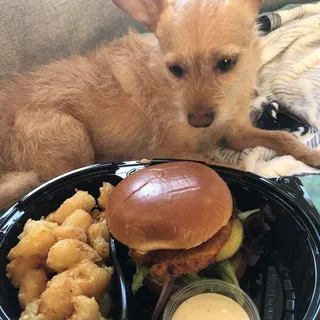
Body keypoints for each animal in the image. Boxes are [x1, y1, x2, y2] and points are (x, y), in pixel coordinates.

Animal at [0, 0, 320, 210]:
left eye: (226, 63)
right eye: (175, 69)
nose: (198, 120)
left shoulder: (235, 133)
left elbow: (280, 138)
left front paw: (310, 155)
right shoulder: (174, 152)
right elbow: (231, 165)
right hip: (70, 134)